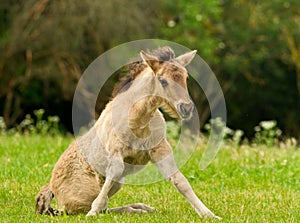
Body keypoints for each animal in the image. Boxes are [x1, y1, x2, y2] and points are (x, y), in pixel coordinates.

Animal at [35, 46, 220, 219]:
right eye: (162, 80)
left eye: (185, 77)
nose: (186, 108)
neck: (138, 119)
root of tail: (52, 188)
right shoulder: (116, 151)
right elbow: (111, 178)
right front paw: (93, 212)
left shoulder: (160, 149)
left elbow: (180, 180)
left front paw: (209, 214)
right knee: (91, 208)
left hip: (117, 184)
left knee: (107, 208)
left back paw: (141, 208)